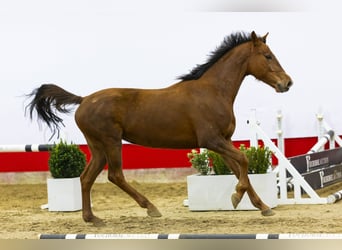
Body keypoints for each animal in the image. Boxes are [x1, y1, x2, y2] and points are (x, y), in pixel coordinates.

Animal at [27, 31, 294, 223]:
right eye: (268, 56)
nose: (287, 83)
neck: (213, 91)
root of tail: (83, 100)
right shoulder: (211, 140)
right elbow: (244, 162)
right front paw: (237, 197)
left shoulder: (224, 141)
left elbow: (240, 169)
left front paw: (262, 207)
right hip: (111, 142)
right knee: (115, 175)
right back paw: (150, 208)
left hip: (98, 147)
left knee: (86, 178)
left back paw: (91, 218)